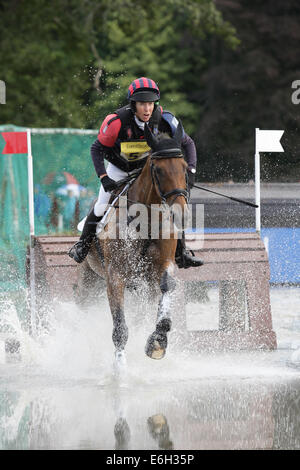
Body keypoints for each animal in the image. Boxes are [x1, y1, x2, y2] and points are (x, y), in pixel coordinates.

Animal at [77, 121, 190, 368]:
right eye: (158, 170)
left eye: (185, 168)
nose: (181, 215)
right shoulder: (115, 277)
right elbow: (120, 327)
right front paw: (119, 368)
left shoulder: (163, 266)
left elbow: (166, 288)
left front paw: (157, 342)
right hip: (89, 279)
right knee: (84, 308)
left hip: (141, 288)